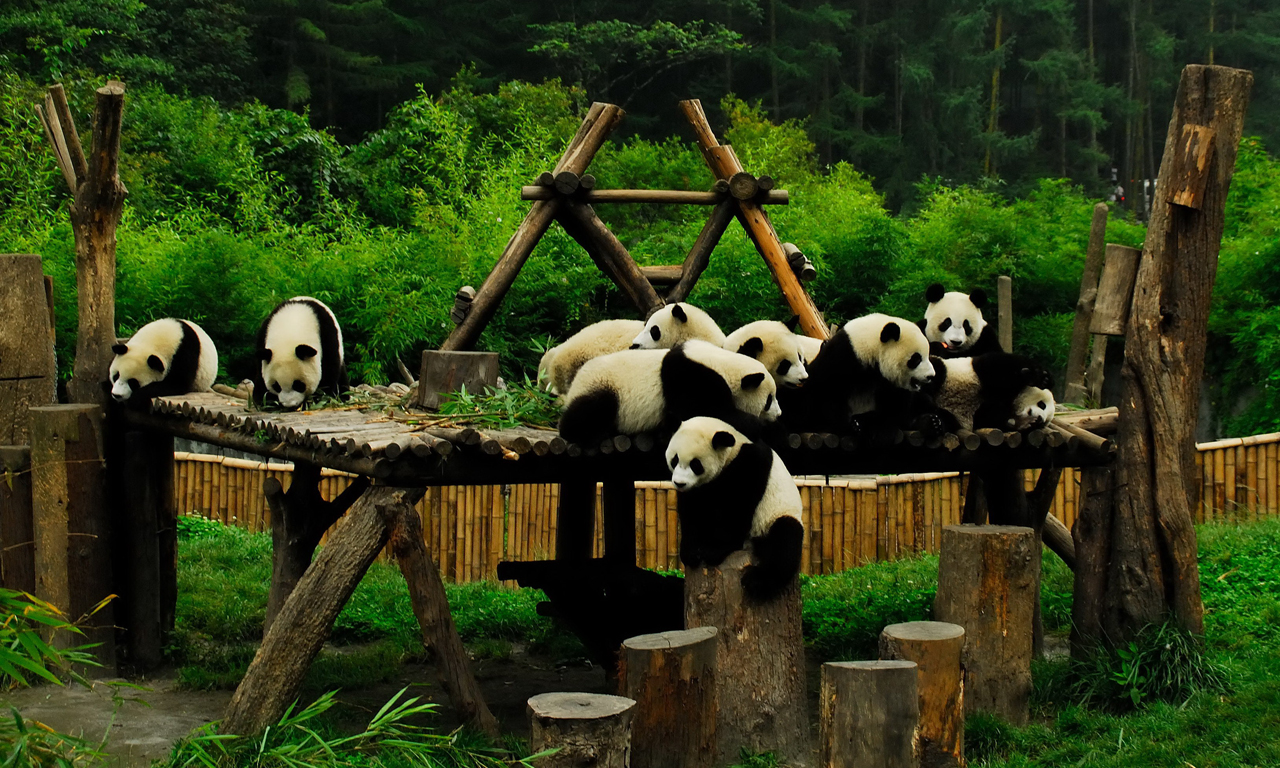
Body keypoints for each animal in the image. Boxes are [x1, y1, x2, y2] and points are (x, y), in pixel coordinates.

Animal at [670, 414, 798, 599]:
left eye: (696, 464)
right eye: (675, 460)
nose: (679, 483)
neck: (732, 451)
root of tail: (750, 545)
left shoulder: (750, 463)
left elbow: (737, 508)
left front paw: (714, 550)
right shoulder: (698, 489)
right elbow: (692, 511)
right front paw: (691, 552)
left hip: (776, 515)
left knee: (784, 541)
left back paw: (756, 582)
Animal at [773, 314, 936, 440]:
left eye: (927, 355)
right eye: (916, 359)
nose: (931, 376)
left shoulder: (890, 381)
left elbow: (896, 404)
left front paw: (883, 428)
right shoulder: (842, 355)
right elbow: (829, 393)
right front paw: (851, 427)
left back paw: (931, 422)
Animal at [921, 353, 1059, 435]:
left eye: (1043, 423)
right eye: (1042, 405)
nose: (1040, 418)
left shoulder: (984, 415)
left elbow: (986, 417)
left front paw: (1023, 424)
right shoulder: (986, 370)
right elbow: (998, 368)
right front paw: (1042, 378)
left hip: (953, 418)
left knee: (946, 419)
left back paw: (931, 423)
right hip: (940, 372)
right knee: (937, 370)